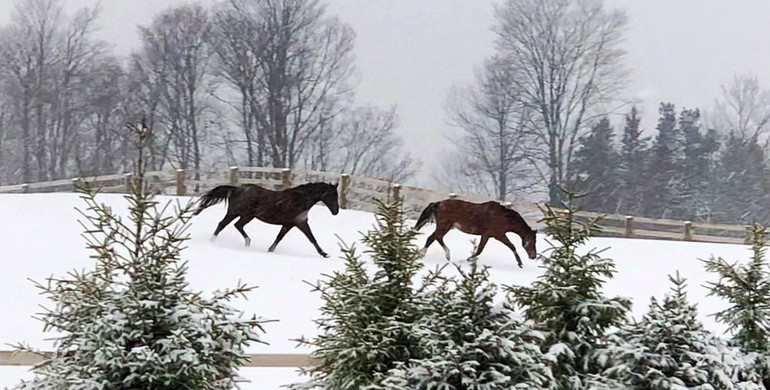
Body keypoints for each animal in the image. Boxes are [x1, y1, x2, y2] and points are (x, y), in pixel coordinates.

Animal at [190, 181, 338, 258]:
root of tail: (237, 189)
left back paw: (247, 242)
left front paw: (270, 250)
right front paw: (324, 254)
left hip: (247, 216)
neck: (300, 200)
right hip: (234, 212)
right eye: (332, 195)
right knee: (222, 224)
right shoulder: (299, 223)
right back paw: (212, 242)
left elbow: (279, 238)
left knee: (238, 225)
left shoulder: (291, 224)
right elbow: (311, 238)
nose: (336, 211)